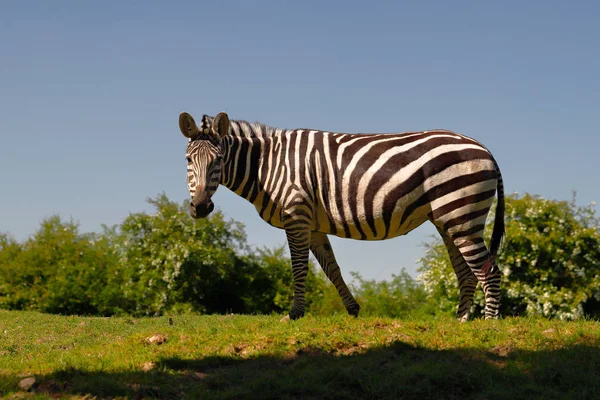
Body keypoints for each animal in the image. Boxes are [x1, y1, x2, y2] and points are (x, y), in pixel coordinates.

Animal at [177, 111, 502, 322]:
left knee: (489, 270)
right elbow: (332, 269)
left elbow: (299, 268)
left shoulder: (296, 215)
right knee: (466, 272)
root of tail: (485, 149)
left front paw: (294, 315)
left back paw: (489, 324)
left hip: (461, 214)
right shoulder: (312, 225)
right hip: (449, 219)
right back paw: (461, 323)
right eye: (188, 160)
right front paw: (354, 310)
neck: (266, 165)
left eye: (219, 160)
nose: (200, 207)